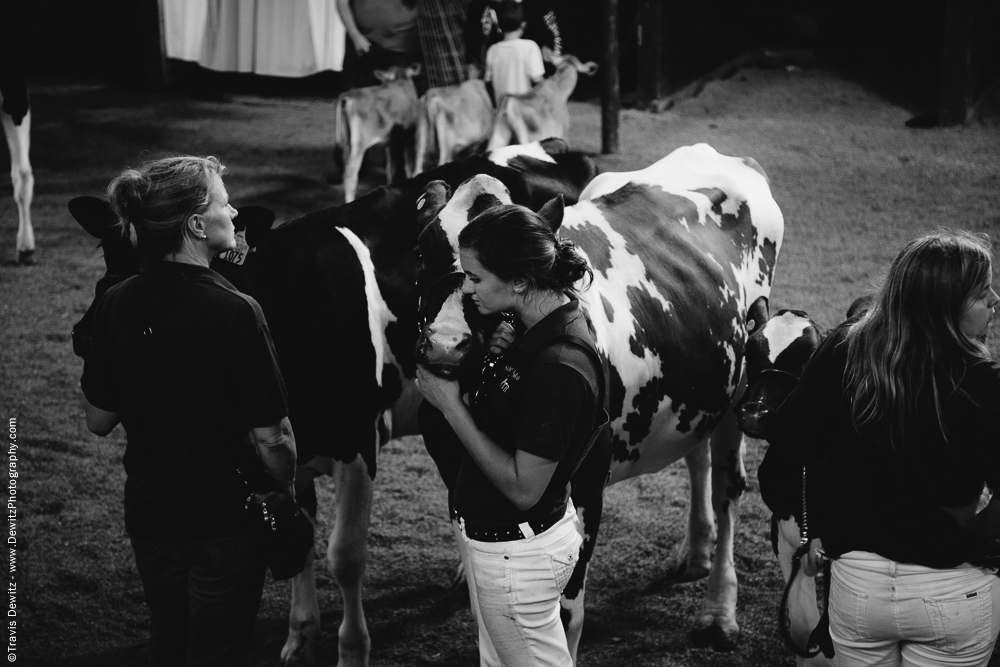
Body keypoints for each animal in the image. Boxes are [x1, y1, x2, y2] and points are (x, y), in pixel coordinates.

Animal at [74, 142, 596, 667]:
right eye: (107, 252)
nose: (88, 339)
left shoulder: (357, 443)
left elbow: (344, 557)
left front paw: (352, 649)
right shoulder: (285, 440)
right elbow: (299, 537)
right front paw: (301, 635)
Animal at [412, 145, 780, 656]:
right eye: (422, 251)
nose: (446, 344)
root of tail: (718, 152)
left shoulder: (585, 480)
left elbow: (567, 610)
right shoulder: (450, 463)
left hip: (741, 387)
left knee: (729, 488)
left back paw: (719, 611)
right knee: (697, 455)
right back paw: (695, 553)